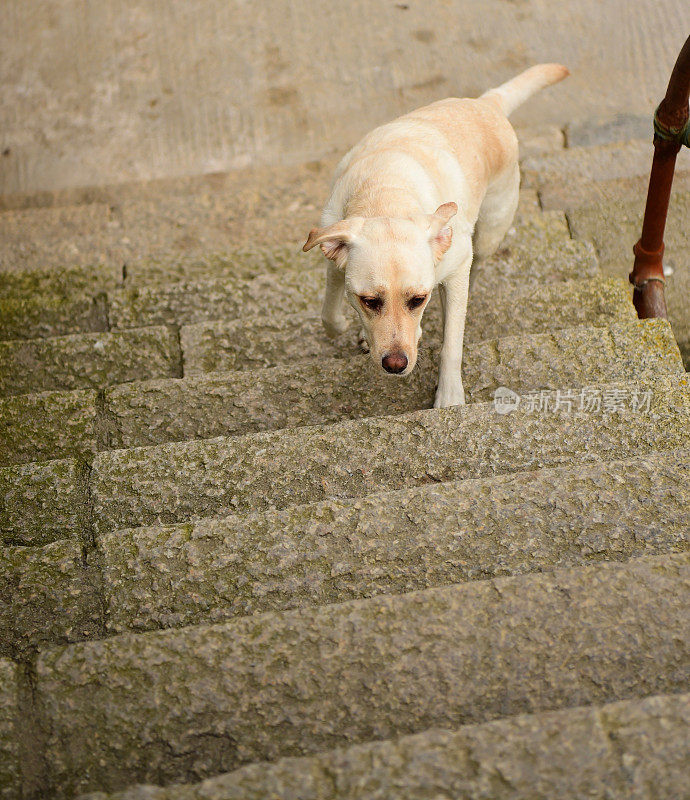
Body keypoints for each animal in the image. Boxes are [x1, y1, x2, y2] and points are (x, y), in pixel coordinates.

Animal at [304, 64, 568, 406]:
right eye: (370, 301)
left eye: (418, 300)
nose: (395, 364)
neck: (385, 193)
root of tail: (487, 103)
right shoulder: (335, 260)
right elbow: (329, 315)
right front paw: (355, 328)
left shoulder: (454, 268)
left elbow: (451, 344)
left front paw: (450, 394)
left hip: (489, 233)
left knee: (477, 264)